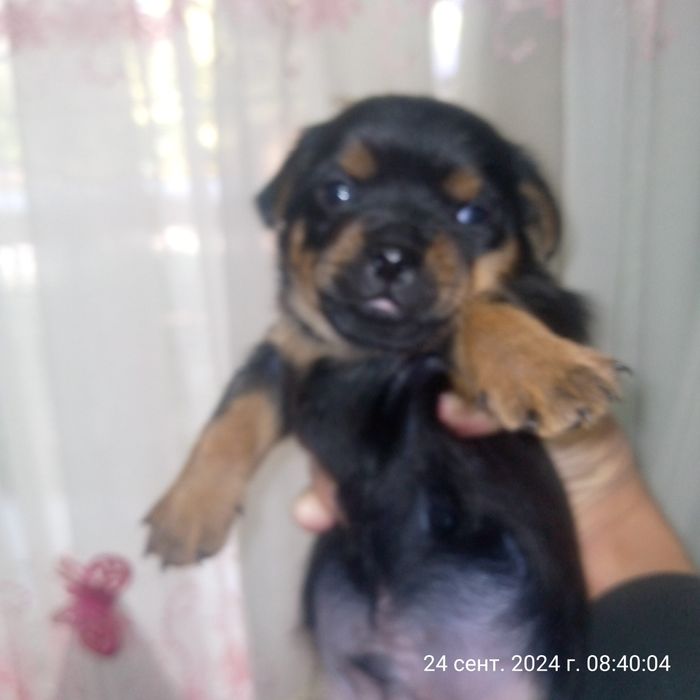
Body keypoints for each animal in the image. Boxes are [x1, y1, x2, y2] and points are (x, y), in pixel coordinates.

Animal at [145, 95, 622, 698]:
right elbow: (233, 416)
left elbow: (479, 305)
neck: (374, 356)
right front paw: (187, 510)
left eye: (473, 215)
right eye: (338, 192)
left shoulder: (540, 309)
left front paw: (545, 368)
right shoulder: (286, 355)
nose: (394, 255)